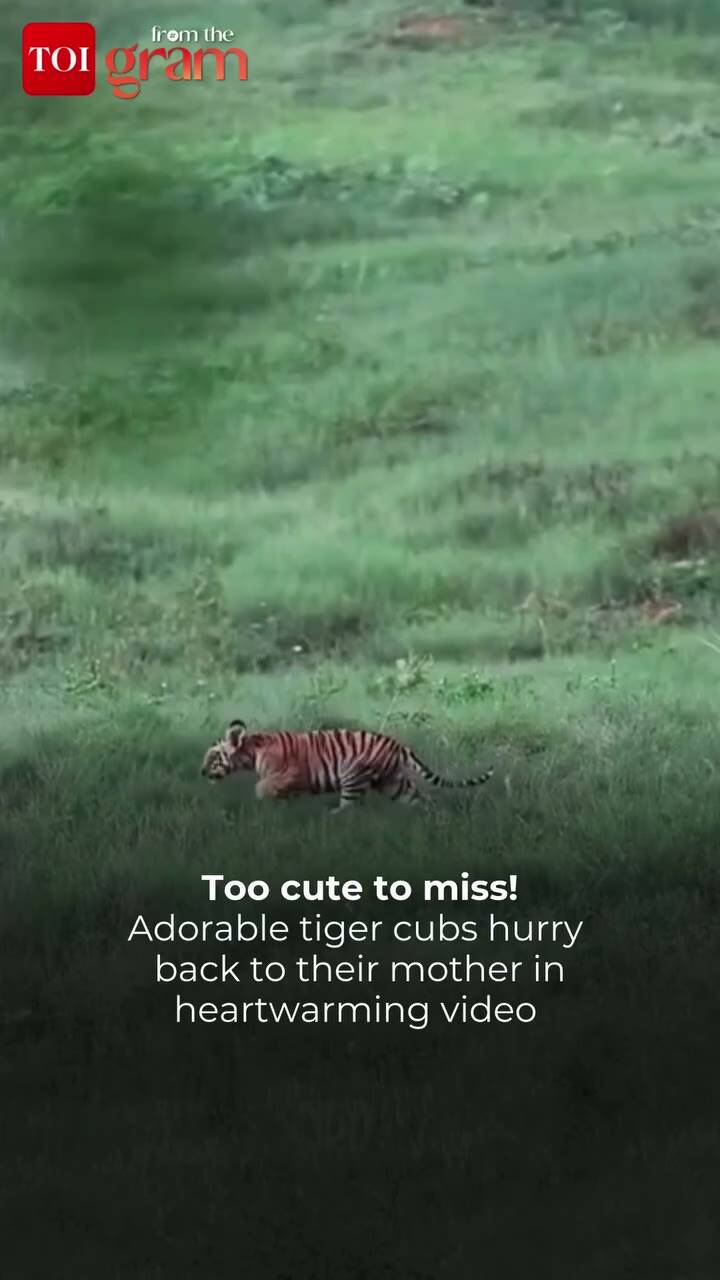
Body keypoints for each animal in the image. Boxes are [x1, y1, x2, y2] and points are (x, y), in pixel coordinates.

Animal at [200, 719, 493, 813]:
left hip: (352, 774)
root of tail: (398, 745)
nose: (201, 772)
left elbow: (262, 788)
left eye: (212, 756)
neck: (251, 752)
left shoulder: (288, 773)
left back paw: (330, 817)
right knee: (417, 799)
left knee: (347, 808)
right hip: (392, 783)